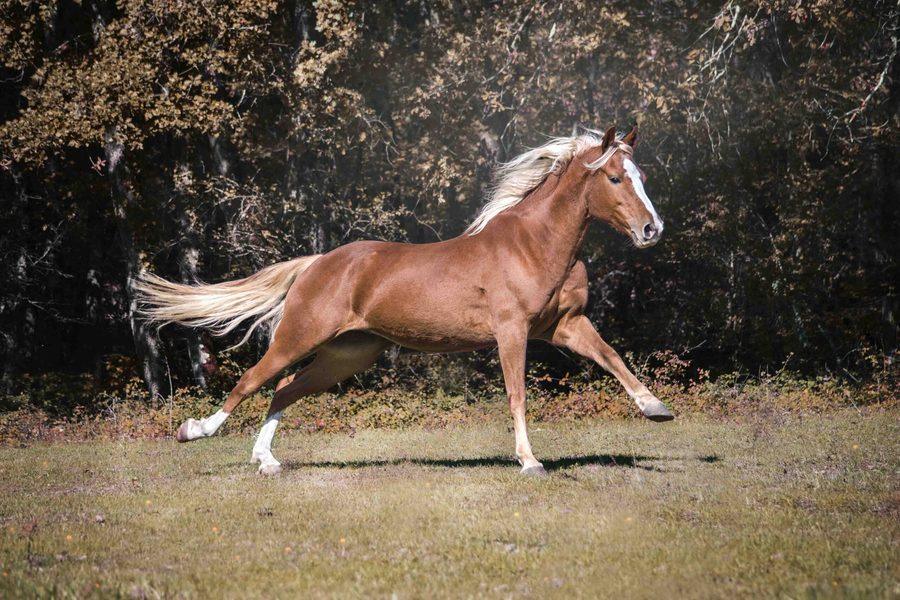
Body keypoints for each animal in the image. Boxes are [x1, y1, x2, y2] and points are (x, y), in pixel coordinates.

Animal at [136, 125, 671, 476]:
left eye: (641, 175)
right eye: (615, 178)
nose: (653, 229)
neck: (533, 244)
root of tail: (316, 264)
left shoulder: (566, 325)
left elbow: (612, 357)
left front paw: (656, 408)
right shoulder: (512, 331)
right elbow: (517, 394)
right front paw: (529, 462)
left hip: (347, 354)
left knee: (285, 389)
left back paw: (267, 461)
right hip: (299, 337)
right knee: (252, 380)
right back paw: (195, 432)